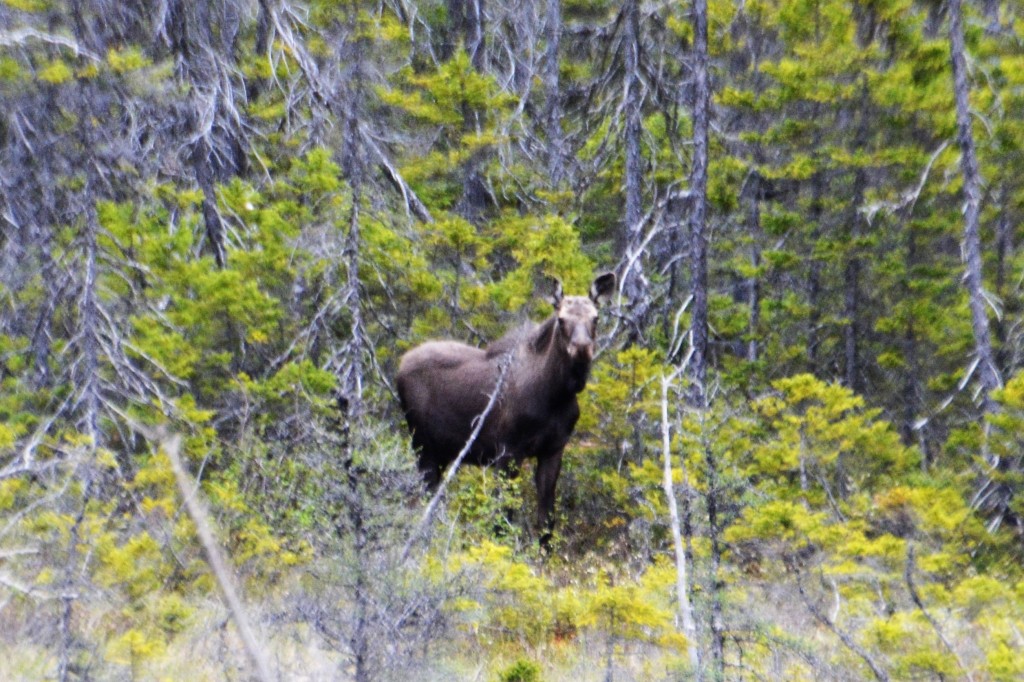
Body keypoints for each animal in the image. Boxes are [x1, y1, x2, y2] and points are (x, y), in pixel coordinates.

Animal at [396, 272, 616, 548]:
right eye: (561, 319)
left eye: (595, 318)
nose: (582, 348)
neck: (555, 395)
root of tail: (399, 367)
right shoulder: (507, 451)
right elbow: (503, 519)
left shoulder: (553, 449)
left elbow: (547, 521)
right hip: (422, 444)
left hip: (441, 451)